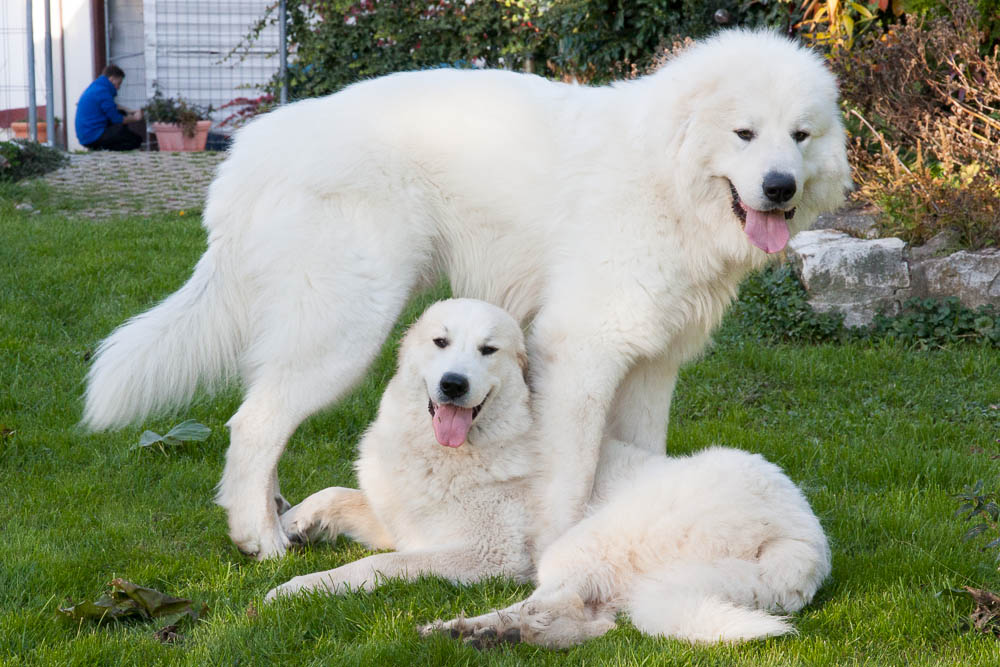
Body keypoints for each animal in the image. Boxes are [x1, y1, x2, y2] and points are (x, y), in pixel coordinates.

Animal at [84, 30, 852, 560]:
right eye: (744, 133)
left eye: (800, 136)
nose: (780, 187)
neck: (665, 172)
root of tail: (250, 152)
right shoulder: (581, 355)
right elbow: (571, 477)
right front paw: (554, 551)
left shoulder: (650, 364)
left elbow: (637, 458)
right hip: (345, 330)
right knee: (253, 424)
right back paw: (260, 539)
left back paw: (273, 512)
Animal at [264, 298, 828, 648]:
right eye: (441, 343)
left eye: (488, 351)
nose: (453, 384)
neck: (453, 452)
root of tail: (804, 542)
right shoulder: (402, 521)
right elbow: (336, 494)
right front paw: (287, 522)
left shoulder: (486, 555)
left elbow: (375, 567)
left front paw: (299, 588)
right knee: (593, 624)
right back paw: (492, 635)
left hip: (579, 546)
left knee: (562, 605)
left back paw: (474, 630)